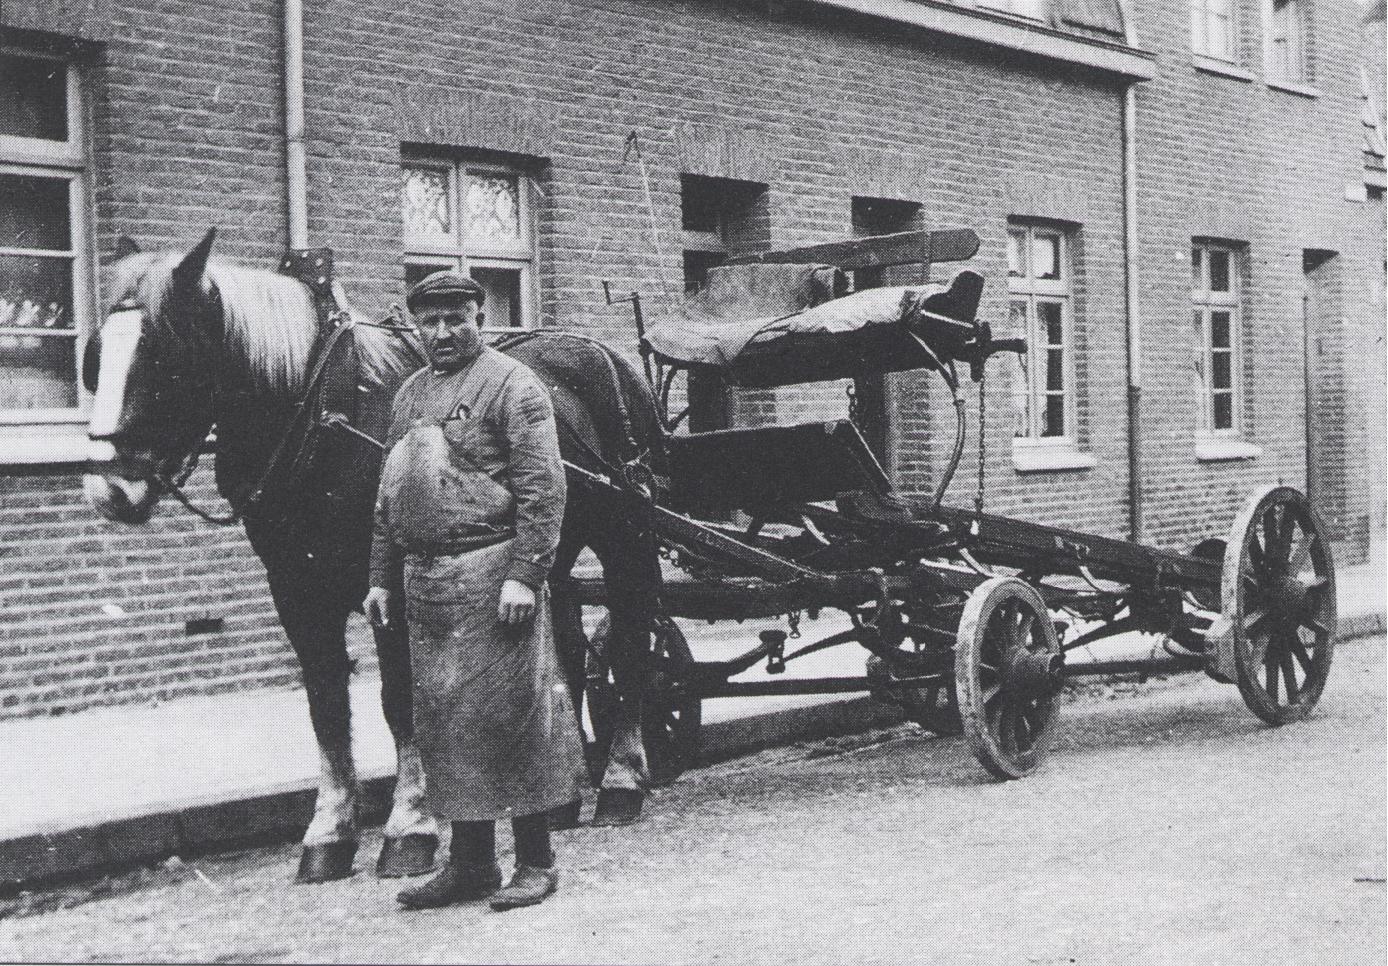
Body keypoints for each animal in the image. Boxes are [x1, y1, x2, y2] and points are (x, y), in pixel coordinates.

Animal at [81, 227, 666, 882]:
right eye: (94, 357)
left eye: (165, 357)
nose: (109, 489)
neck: (319, 415)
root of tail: (613, 359)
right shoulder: (296, 592)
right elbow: (327, 705)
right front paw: (328, 833)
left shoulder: (388, 586)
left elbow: (400, 701)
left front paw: (409, 827)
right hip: (549, 552)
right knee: (563, 647)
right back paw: (562, 796)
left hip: (629, 539)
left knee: (631, 641)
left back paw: (621, 780)